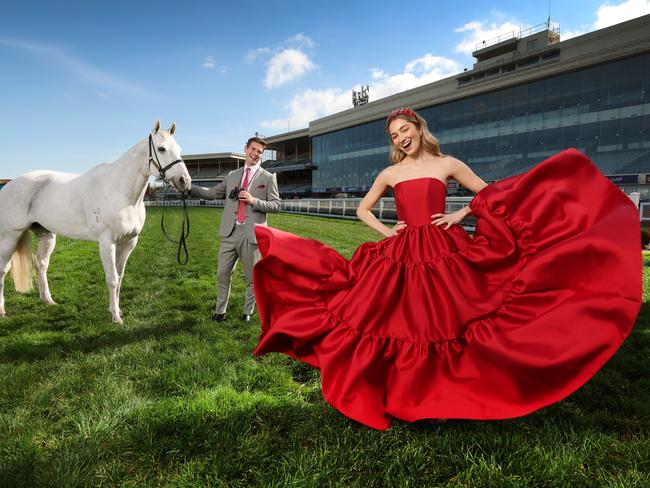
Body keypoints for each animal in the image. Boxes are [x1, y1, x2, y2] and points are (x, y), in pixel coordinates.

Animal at [0, 120, 191, 322]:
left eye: (179, 149)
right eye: (161, 148)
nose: (184, 181)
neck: (120, 191)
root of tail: (8, 185)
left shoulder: (128, 243)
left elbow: (119, 277)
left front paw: (117, 310)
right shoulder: (107, 242)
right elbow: (112, 279)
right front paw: (116, 317)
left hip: (45, 234)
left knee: (41, 264)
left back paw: (48, 300)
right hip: (9, 237)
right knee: (3, 269)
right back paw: (2, 310)